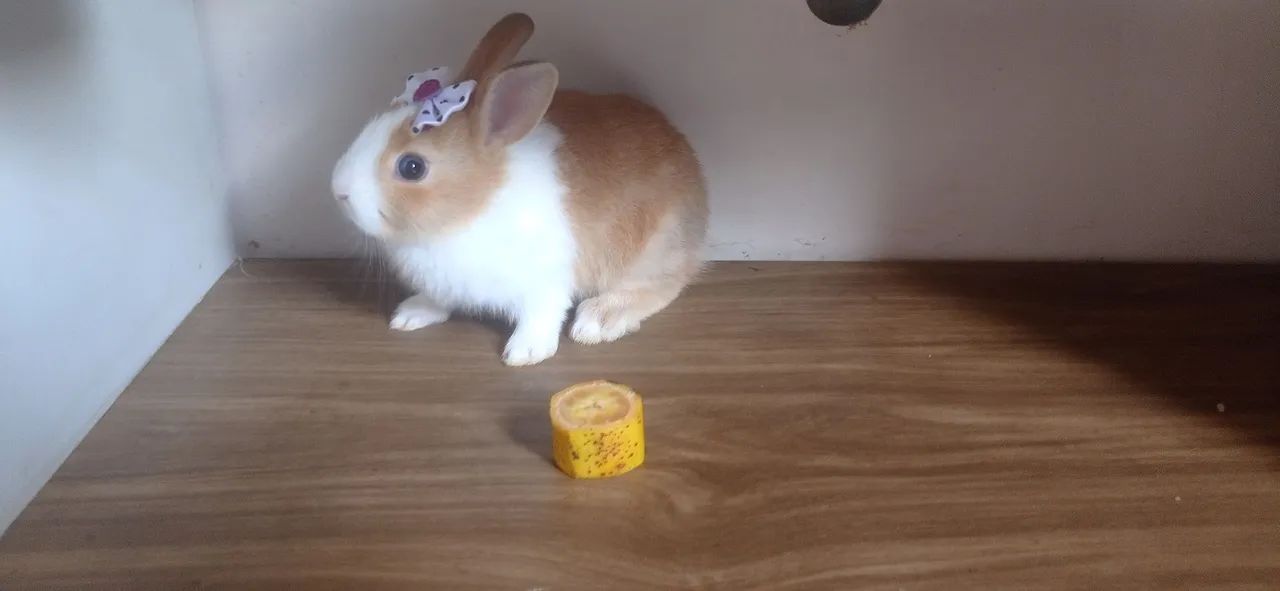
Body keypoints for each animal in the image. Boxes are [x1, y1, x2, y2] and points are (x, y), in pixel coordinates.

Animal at [331, 13, 708, 367]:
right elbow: (438, 301)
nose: (339, 191)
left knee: (663, 285)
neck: (473, 206)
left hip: (655, 250)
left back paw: (598, 320)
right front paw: (410, 315)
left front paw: (525, 352)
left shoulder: (545, 283)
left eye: (412, 167)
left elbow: (541, 315)